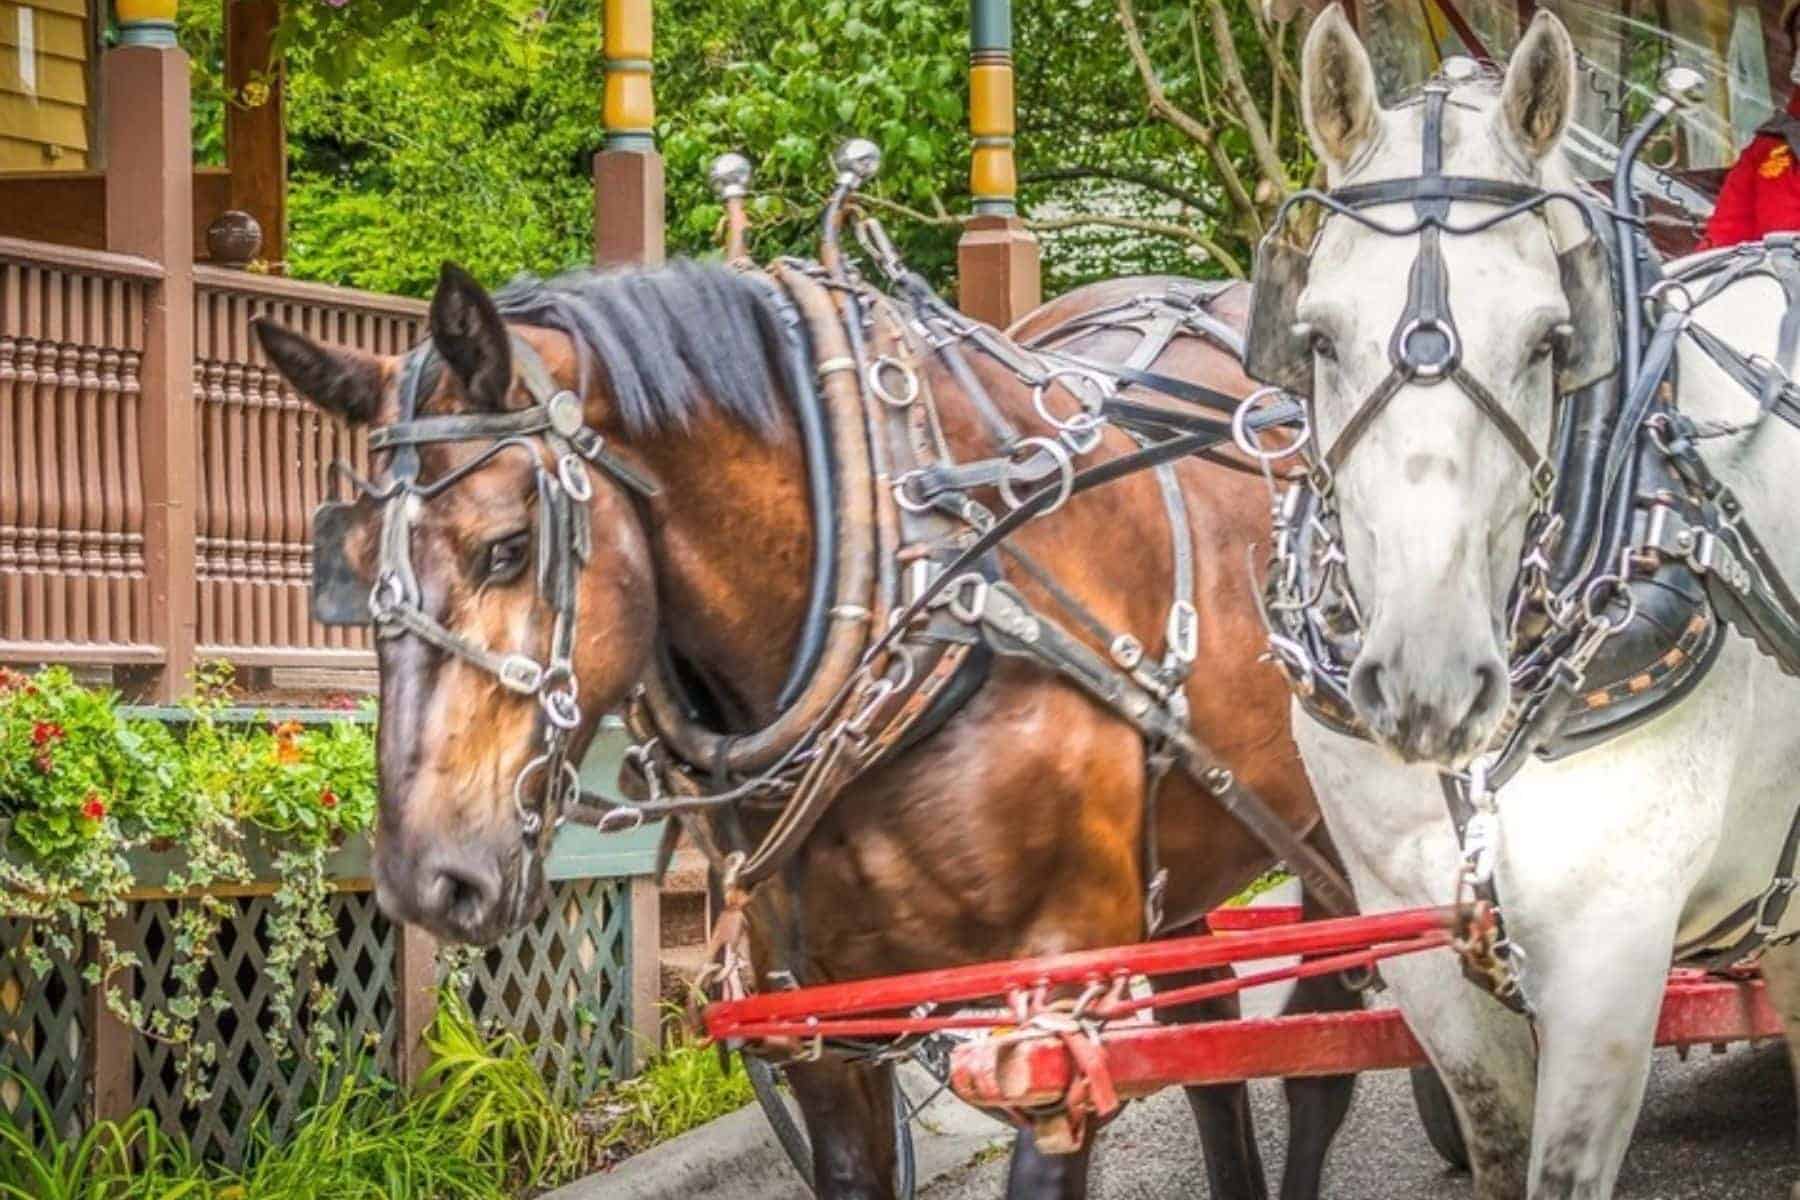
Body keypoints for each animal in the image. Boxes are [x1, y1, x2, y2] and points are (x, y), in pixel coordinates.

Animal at [253, 256, 1359, 1200]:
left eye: (507, 548)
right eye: (349, 567)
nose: (423, 879)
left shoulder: (1052, 1011)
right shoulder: (825, 1028)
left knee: (1324, 1051)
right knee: (1214, 1046)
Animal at [1270, 8, 1800, 1198]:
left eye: (1553, 342)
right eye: (1316, 337)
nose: (1427, 682)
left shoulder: (1610, 950)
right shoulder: (1418, 942)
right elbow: (1495, 1144)